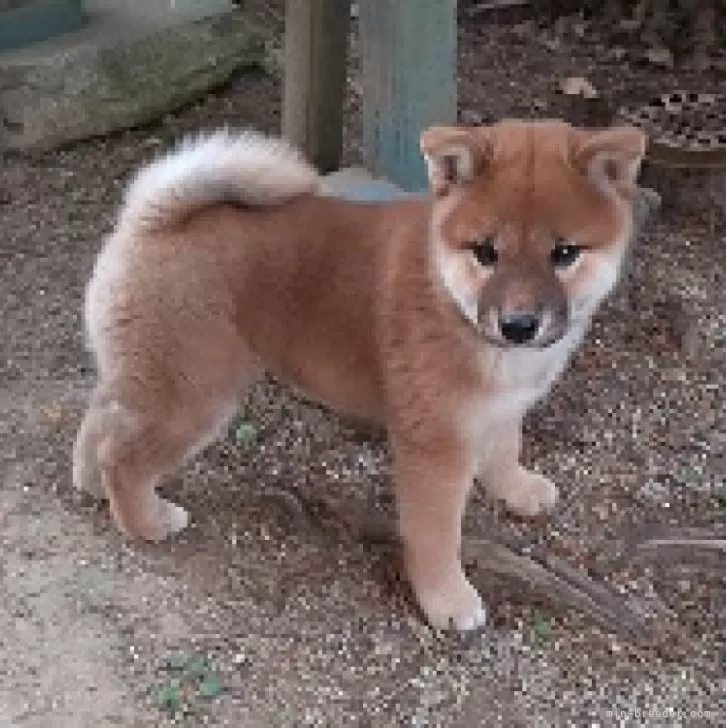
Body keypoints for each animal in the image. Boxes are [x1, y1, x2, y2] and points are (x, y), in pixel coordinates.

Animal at [74, 119, 648, 632]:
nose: (519, 324)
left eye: (564, 254)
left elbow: (506, 448)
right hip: (194, 394)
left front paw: (516, 488)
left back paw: (90, 482)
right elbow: (437, 533)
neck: (452, 300)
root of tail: (152, 217)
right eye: (486, 252)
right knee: (123, 456)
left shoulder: (500, 407)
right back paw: (147, 520)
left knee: (100, 418)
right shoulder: (435, 445)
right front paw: (447, 599)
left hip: (147, 375)